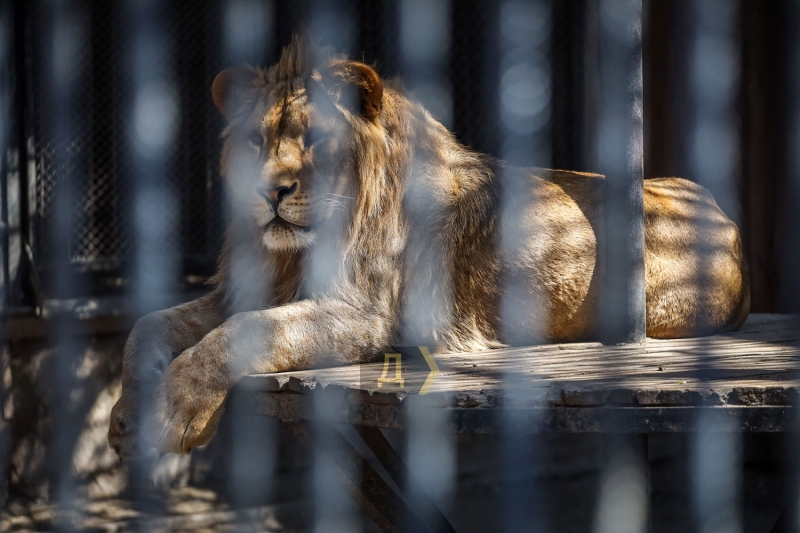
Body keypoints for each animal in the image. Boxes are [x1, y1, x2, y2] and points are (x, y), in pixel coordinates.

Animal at [108, 34, 752, 458]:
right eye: (252, 141)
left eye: (313, 139)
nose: (270, 191)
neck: (294, 252)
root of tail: (728, 218)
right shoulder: (247, 288)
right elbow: (148, 325)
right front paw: (124, 417)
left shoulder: (373, 315)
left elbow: (242, 335)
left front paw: (174, 413)